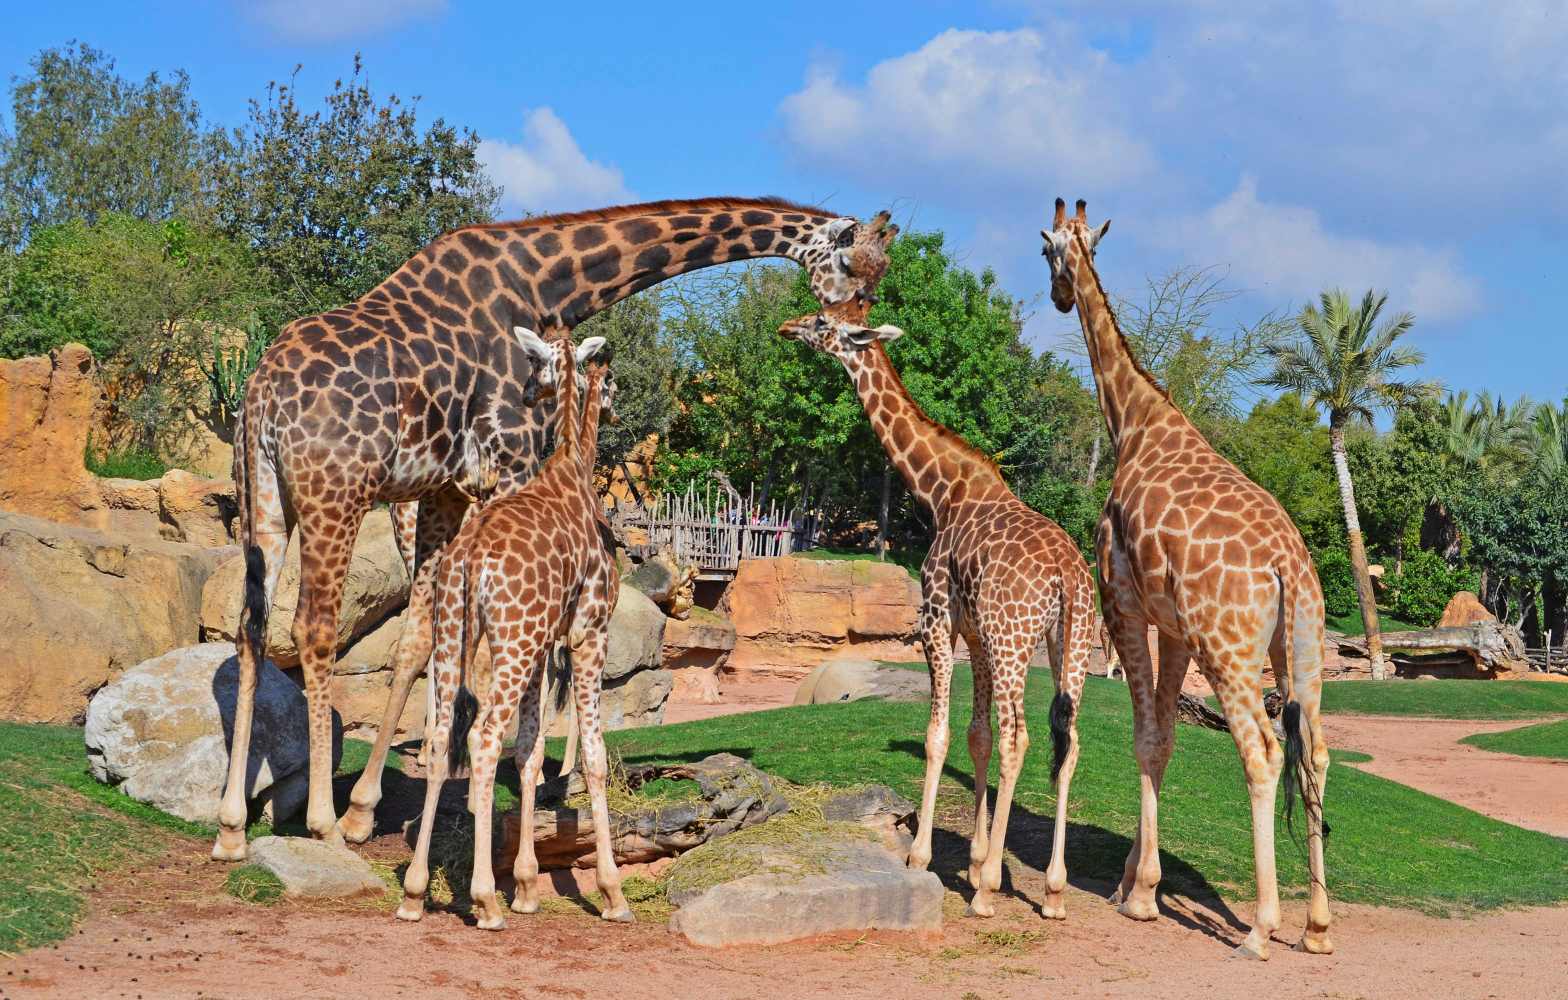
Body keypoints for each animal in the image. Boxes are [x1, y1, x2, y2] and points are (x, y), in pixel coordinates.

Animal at [217, 195, 896, 865]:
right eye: (855, 273)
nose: (863, 338)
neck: (547, 282)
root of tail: (261, 390)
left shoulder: (443, 487)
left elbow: (423, 641)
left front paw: (375, 804)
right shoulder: (508, 463)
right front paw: (498, 798)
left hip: (264, 497)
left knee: (252, 624)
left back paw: (232, 824)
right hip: (336, 494)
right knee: (313, 628)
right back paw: (321, 824)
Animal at [398, 329, 630, 934]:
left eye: (533, 364)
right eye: (613, 385)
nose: (527, 393)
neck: (572, 465)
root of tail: (472, 557)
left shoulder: (544, 643)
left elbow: (528, 751)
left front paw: (526, 885)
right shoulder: (589, 632)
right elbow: (593, 754)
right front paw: (611, 893)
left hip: (460, 631)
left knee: (441, 738)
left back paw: (414, 893)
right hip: (514, 641)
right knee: (481, 738)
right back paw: (484, 901)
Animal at [777, 241, 1097, 915]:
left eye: (822, 320)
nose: (787, 326)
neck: (941, 491)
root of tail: (1066, 575)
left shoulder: (938, 619)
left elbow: (939, 734)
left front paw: (931, 857)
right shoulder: (975, 635)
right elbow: (975, 735)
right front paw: (974, 857)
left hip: (1013, 638)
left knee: (1021, 737)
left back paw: (989, 890)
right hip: (1070, 643)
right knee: (1068, 742)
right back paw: (1053, 890)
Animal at [1041, 197, 1335, 965]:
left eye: (1046, 251)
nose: (1058, 296)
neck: (1134, 422)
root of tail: (1287, 566)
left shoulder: (1123, 602)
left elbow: (1146, 735)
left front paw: (1142, 894)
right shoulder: (1172, 627)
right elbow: (1166, 738)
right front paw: (1131, 883)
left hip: (1228, 649)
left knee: (1263, 754)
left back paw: (1260, 930)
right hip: (1302, 647)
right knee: (1318, 754)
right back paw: (1318, 928)